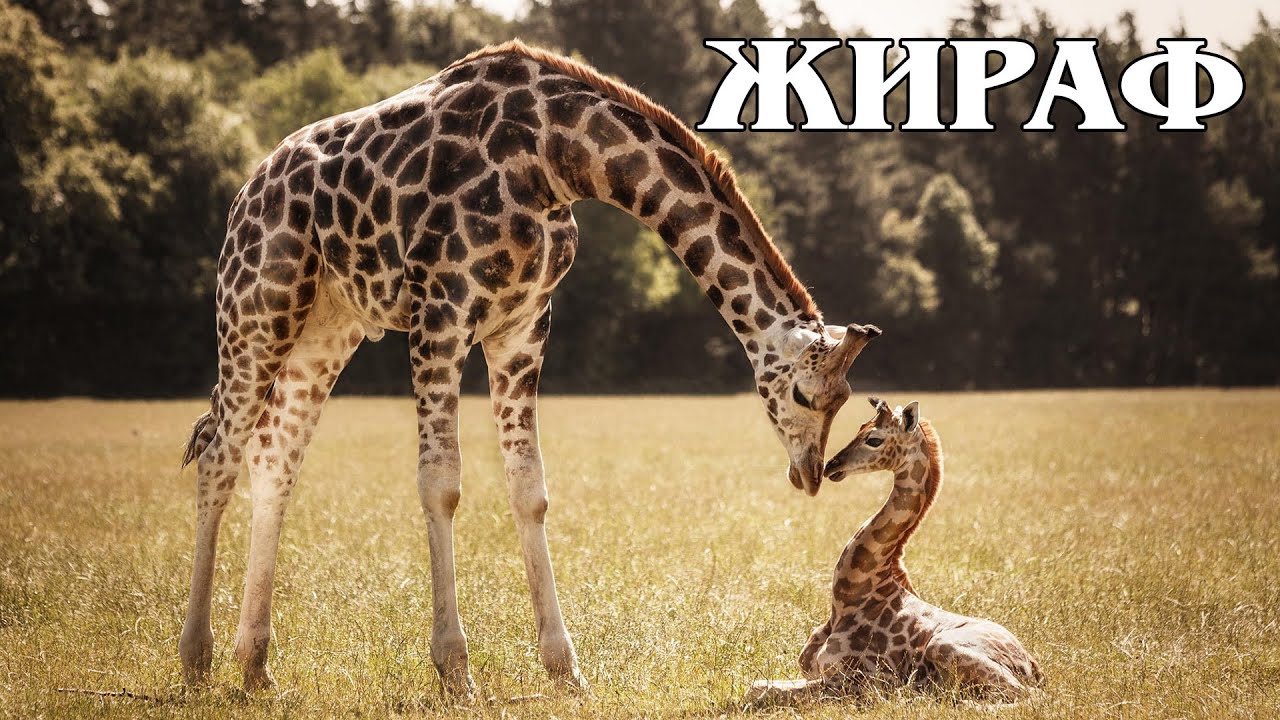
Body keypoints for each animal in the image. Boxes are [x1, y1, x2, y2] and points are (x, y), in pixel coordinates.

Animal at [176, 40, 882, 696]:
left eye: (845, 399)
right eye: (805, 394)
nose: (809, 474)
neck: (556, 155)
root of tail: (246, 192)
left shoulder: (523, 325)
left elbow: (529, 488)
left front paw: (564, 667)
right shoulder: (441, 312)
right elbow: (441, 483)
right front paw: (455, 671)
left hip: (327, 326)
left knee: (274, 457)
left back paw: (256, 666)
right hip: (258, 305)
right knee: (220, 454)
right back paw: (196, 659)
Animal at [750, 397, 1042, 705]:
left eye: (874, 439)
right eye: (859, 428)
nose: (831, 465)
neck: (848, 599)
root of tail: (1034, 668)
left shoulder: (858, 683)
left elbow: (761, 689)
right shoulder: (814, 672)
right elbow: (759, 685)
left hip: (944, 646)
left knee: (1029, 697)